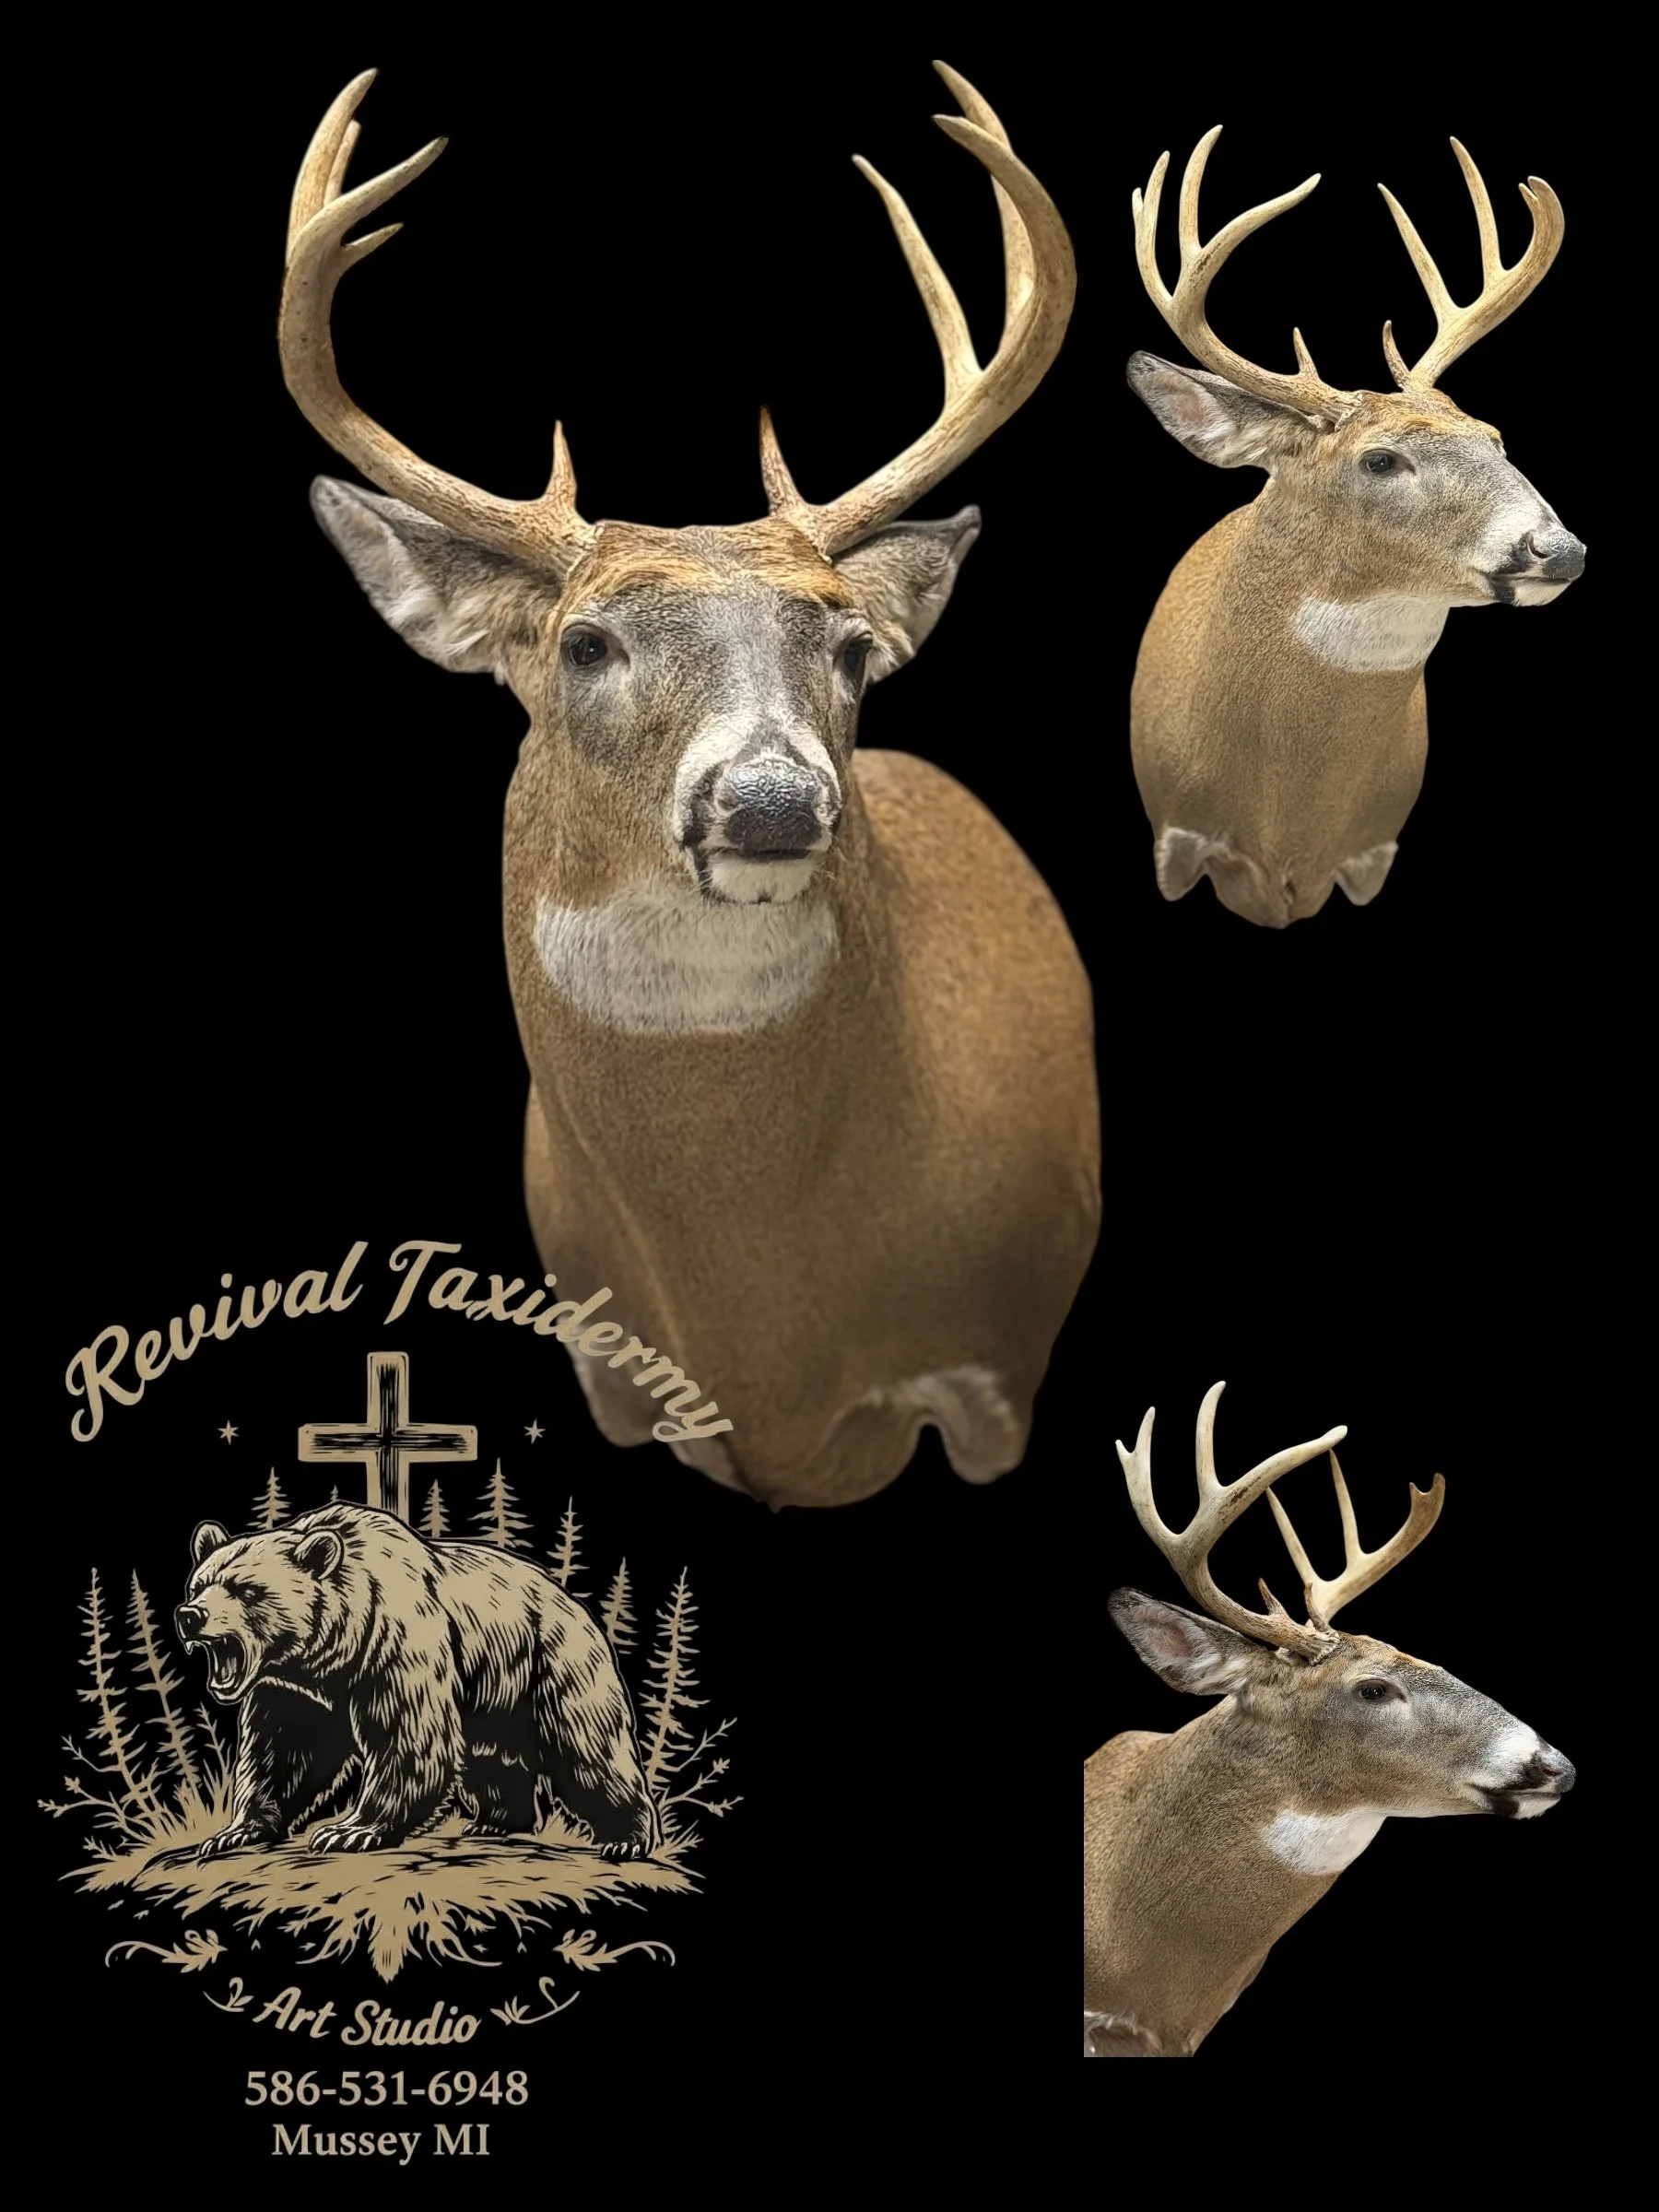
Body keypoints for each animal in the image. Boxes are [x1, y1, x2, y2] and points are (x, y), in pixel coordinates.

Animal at [174, 1502, 659, 1862]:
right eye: (199, 1584)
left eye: (246, 1590)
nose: (190, 1615)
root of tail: (577, 1605)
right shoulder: (294, 1690)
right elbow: (281, 1751)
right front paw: (234, 1832)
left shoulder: (397, 1645)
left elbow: (409, 1738)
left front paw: (348, 1830)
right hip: (494, 1700)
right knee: (492, 1758)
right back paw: (495, 1821)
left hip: (552, 1665)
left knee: (589, 1749)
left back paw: (626, 1838)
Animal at [279, 67, 1098, 1508]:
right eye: (583, 643)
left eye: (852, 644)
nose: (771, 801)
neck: (759, 1310)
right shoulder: (609, 1370)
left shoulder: (995, 1368)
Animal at [1125, 131, 1586, 927]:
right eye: (1379, 458)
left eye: (1496, 437)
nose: (1557, 548)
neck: (1286, 820)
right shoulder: (1178, 836)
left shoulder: (1372, 852)